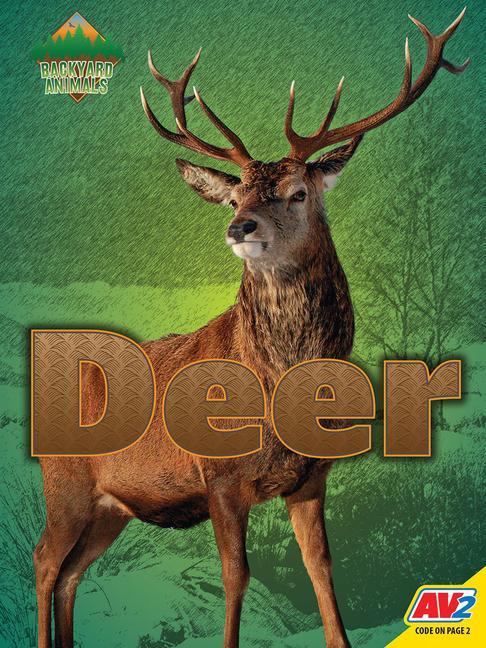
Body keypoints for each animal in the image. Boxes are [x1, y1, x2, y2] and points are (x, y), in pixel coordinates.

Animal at [34, 10, 469, 648]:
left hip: (111, 508)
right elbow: (235, 576)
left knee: (70, 573)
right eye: (234, 196)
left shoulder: (312, 476)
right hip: (63, 483)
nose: (240, 226)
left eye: (298, 192)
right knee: (44, 561)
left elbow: (321, 568)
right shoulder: (219, 475)